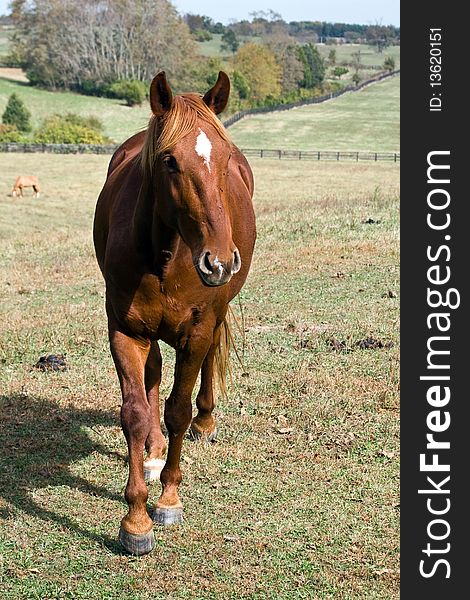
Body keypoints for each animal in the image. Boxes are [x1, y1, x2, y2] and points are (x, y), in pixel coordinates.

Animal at [94, 72, 258, 556]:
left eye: (224, 157)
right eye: (169, 161)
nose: (219, 261)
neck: (165, 254)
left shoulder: (197, 331)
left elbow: (178, 410)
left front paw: (167, 499)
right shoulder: (125, 331)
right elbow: (135, 412)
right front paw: (135, 518)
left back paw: (205, 420)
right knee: (151, 377)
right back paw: (152, 453)